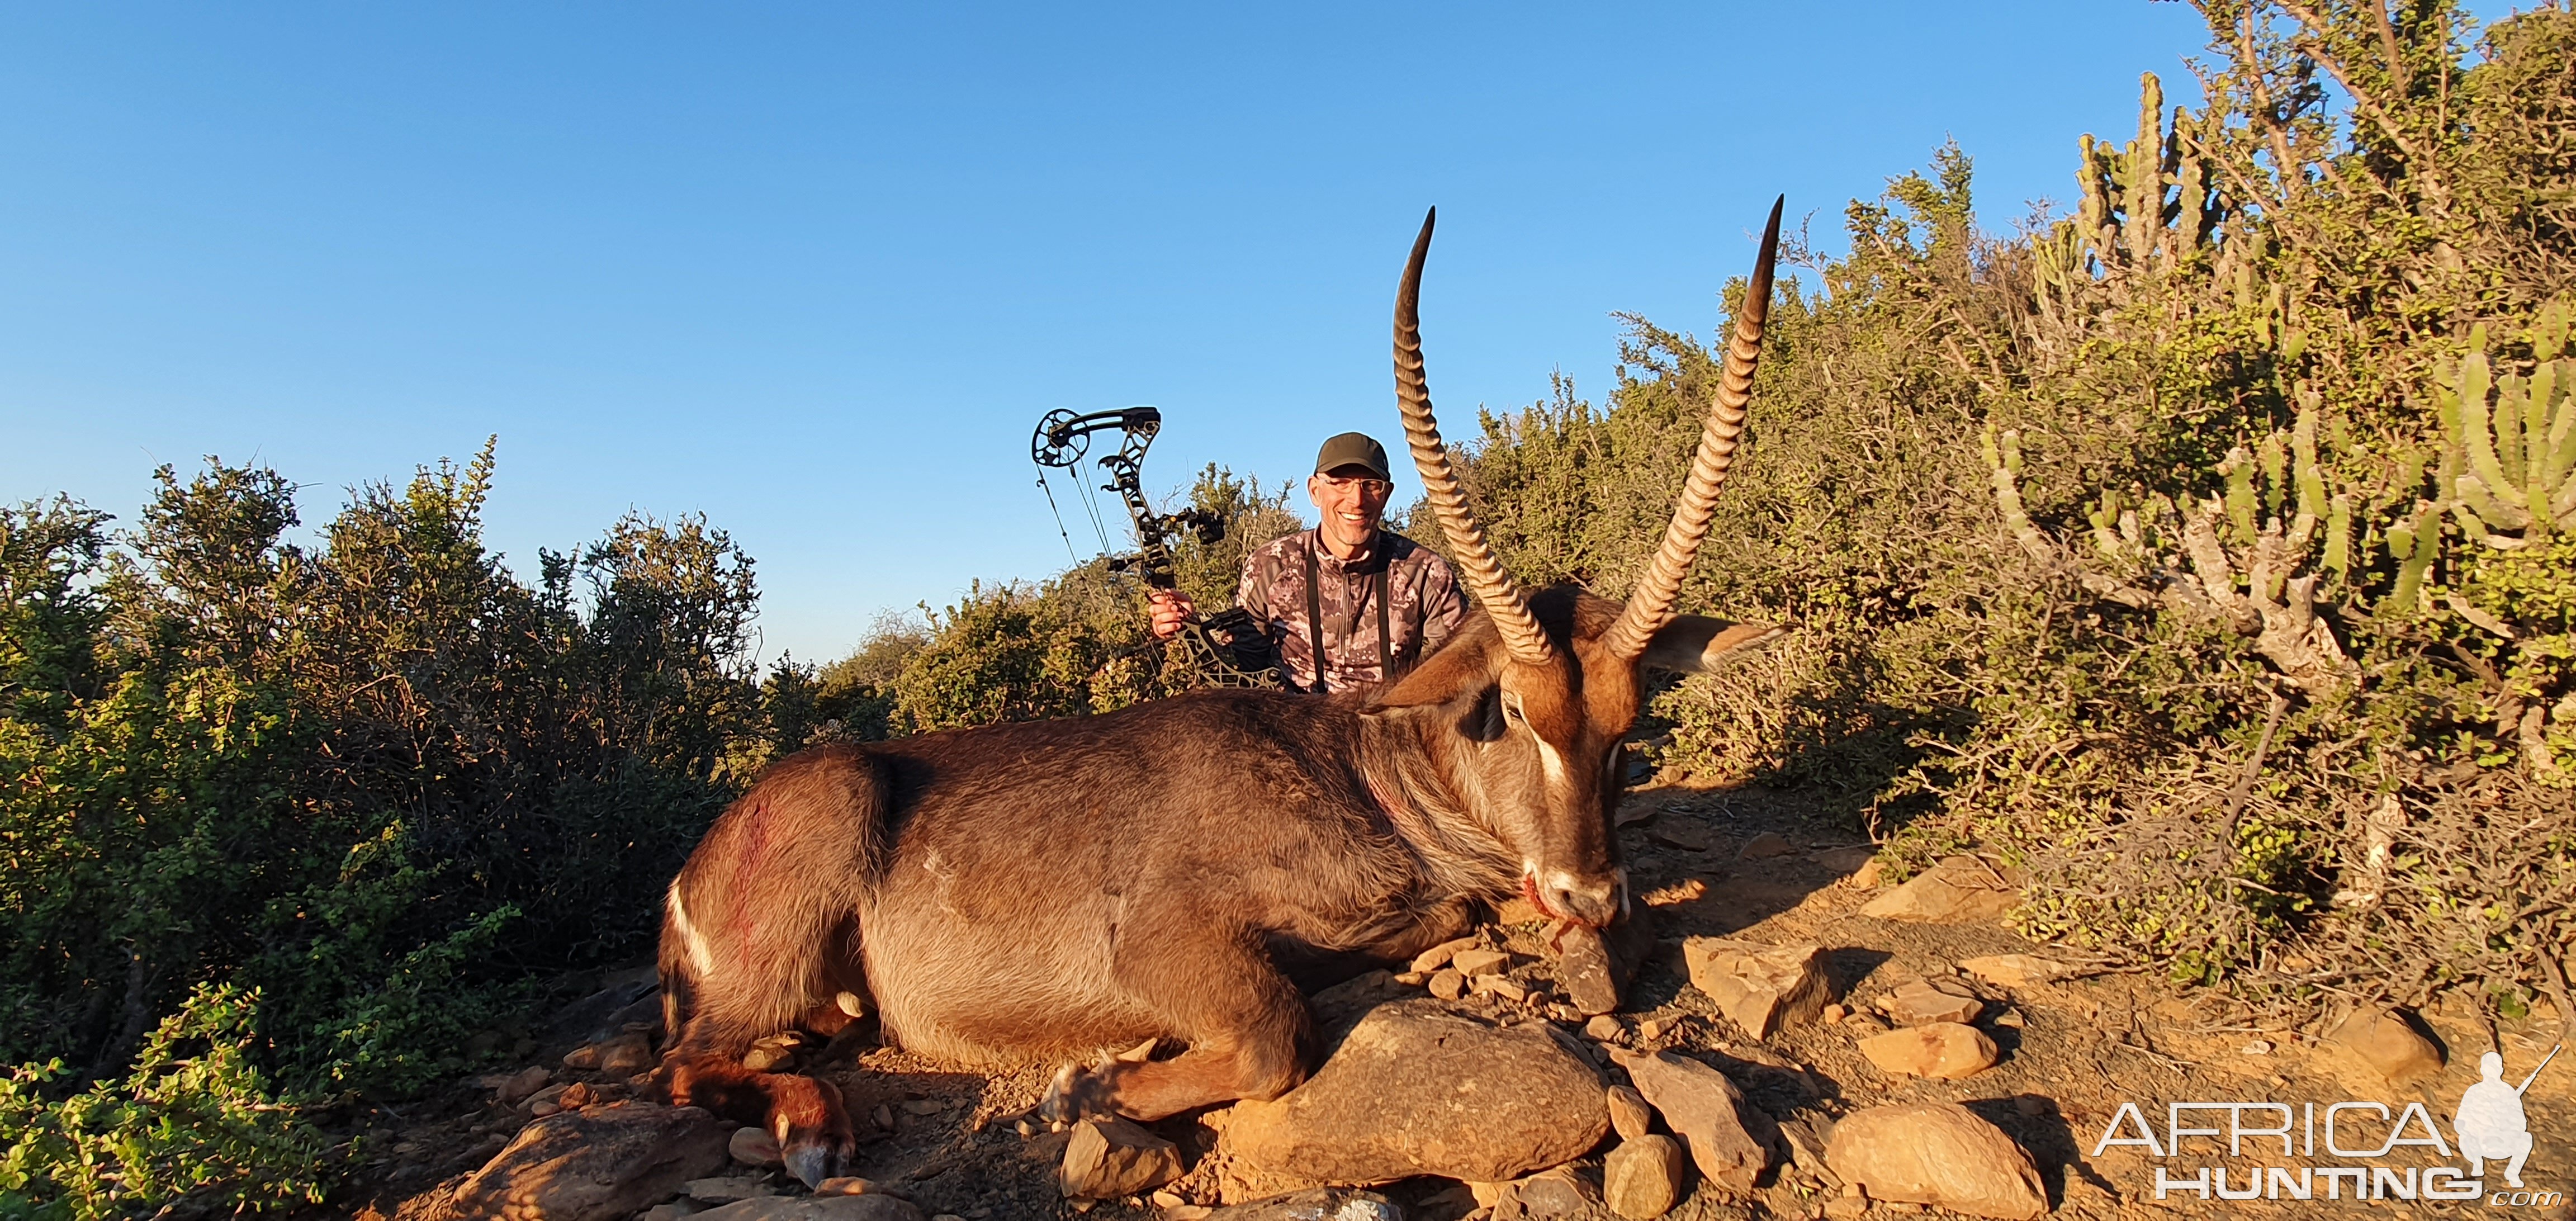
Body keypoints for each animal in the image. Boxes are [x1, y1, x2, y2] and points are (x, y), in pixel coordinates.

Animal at [659, 198, 1793, 1185]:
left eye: (1630, 723)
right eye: (1514, 709)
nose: (1590, 897)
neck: (1362, 776)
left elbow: (1430, 923)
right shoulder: (1164, 938)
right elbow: (1272, 1038)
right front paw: (1083, 1085)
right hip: (823, 831)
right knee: (685, 1066)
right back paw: (813, 1124)